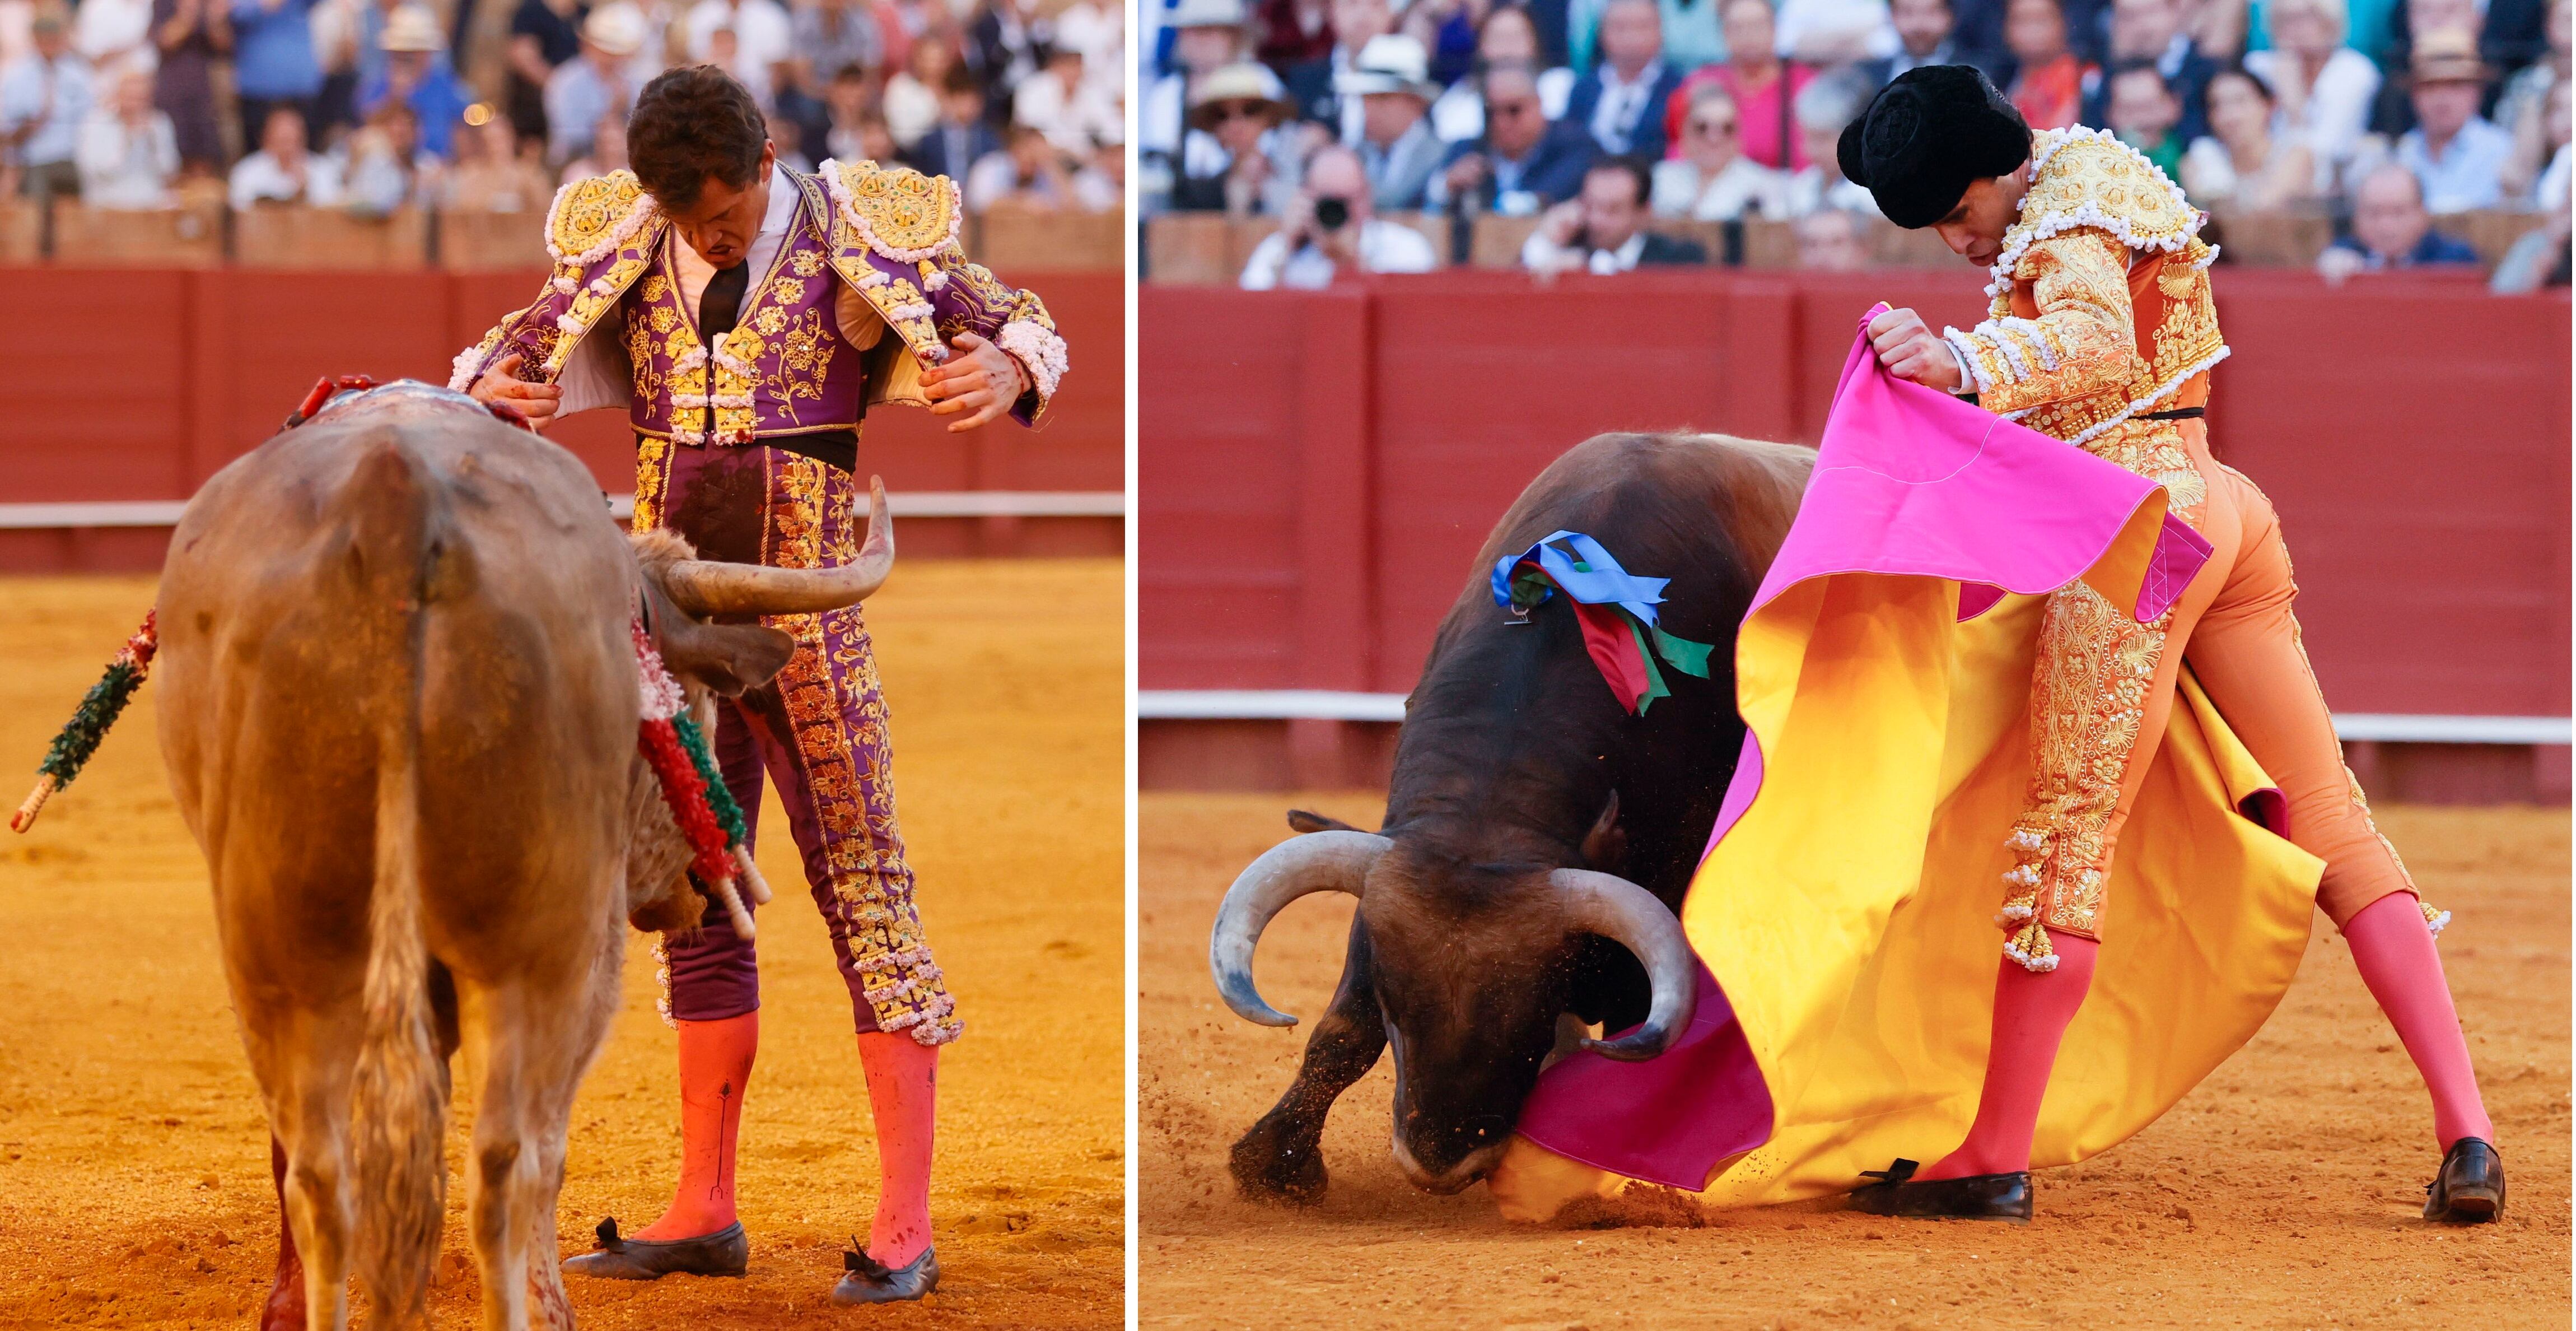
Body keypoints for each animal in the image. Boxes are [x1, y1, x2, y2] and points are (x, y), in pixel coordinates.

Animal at [153, 383, 896, 1328]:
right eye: (696, 698)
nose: (701, 886)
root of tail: (394, 504)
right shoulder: (584, 964)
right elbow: (540, 1157)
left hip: (284, 953)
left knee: (324, 1175)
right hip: (533, 957)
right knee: (509, 1166)